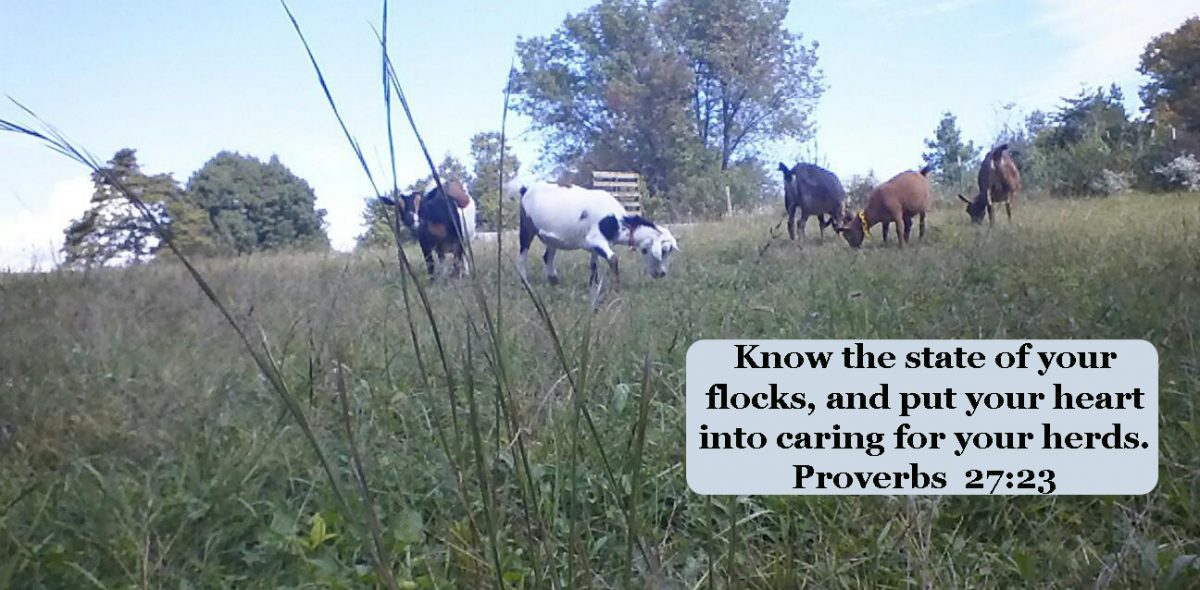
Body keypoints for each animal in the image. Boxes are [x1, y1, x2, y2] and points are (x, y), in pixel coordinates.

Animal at [518, 181, 681, 289]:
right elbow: (613, 258)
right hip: (526, 228)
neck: (616, 222)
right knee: (522, 256)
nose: (662, 273)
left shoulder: (594, 247)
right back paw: (526, 284)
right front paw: (616, 289)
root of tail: (526, 189)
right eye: (663, 251)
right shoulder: (595, 240)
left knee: (547, 256)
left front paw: (594, 287)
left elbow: (594, 265)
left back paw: (554, 282)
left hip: (552, 238)